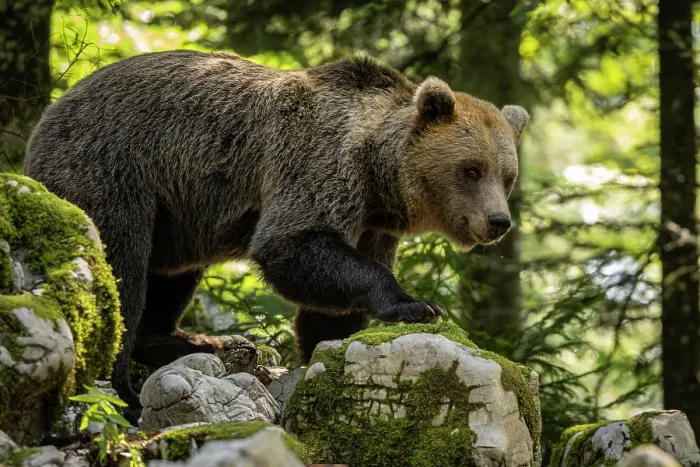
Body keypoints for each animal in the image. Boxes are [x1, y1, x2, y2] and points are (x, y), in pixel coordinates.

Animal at [24, 50, 529, 422]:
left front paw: (324, 346)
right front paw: (417, 304)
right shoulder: (317, 165)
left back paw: (191, 341)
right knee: (121, 265)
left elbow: (331, 298)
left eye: (507, 176)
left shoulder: (370, 221)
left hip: (176, 212)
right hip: (112, 167)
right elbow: (290, 245)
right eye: (470, 169)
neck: (377, 177)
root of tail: (48, 113)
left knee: (170, 274)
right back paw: (125, 392)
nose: (498, 221)